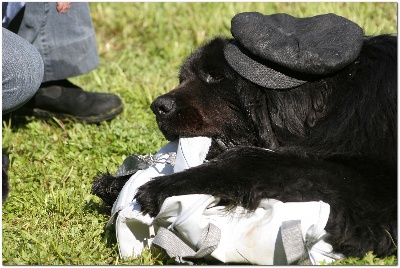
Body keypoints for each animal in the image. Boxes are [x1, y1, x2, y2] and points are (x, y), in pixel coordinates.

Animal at [91, 14, 396, 258]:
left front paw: (162, 187)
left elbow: (257, 160)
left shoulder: (372, 183)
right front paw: (117, 182)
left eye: (215, 77)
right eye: (183, 79)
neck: (339, 98)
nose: (158, 106)